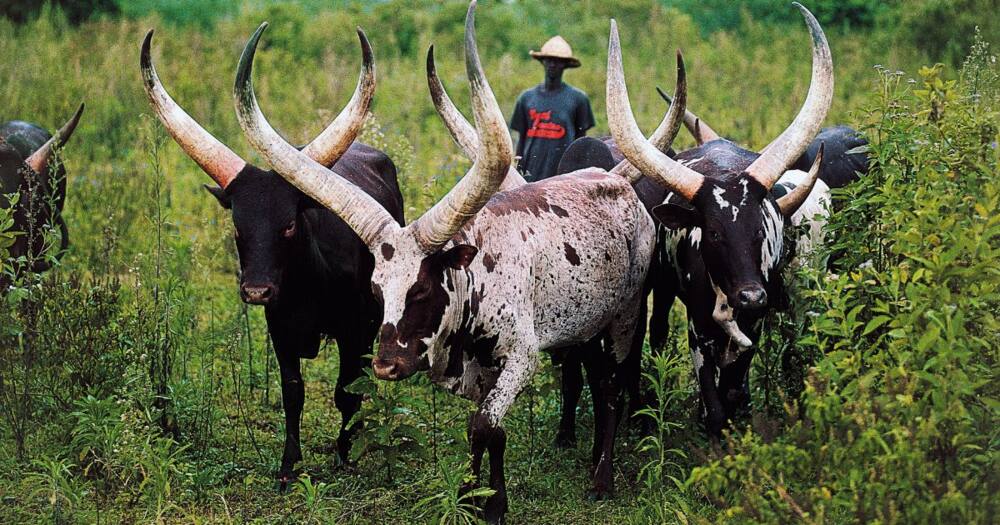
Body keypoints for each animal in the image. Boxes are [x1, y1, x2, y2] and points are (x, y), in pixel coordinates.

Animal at [142, 27, 406, 484]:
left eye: (288, 225)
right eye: (237, 226)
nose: (256, 291)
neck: (309, 284)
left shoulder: (355, 329)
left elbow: (346, 391)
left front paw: (344, 455)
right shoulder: (279, 329)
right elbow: (292, 394)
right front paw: (288, 467)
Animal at [234, 3, 656, 520]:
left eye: (420, 289)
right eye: (376, 290)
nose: (386, 366)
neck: (477, 276)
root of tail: (619, 185)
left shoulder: (521, 357)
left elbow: (484, 426)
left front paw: (491, 507)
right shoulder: (480, 371)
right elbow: (489, 433)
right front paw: (475, 497)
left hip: (626, 315)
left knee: (613, 388)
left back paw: (602, 478)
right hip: (588, 323)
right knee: (596, 381)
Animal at [604, 4, 840, 436]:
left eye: (762, 228)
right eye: (712, 233)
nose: (751, 297)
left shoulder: (757, 324)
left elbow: (734, 387)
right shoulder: (698, 328)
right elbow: (713, 402)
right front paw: (709, 422)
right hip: (663, 291)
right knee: (658, 333)